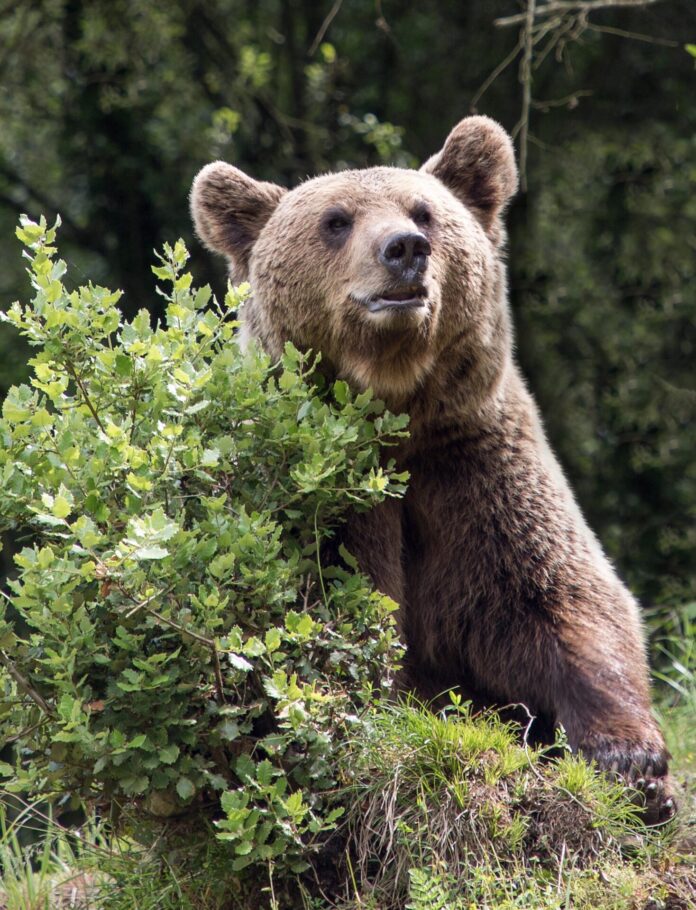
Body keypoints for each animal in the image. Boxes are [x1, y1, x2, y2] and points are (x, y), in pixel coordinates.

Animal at [190, 116, 674, 822]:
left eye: (424, 211)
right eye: (336, 220)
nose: (404, 248)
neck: (395, 411)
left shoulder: (473, 469)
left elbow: (561, 597)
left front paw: (634, 761)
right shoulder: (316, 494)